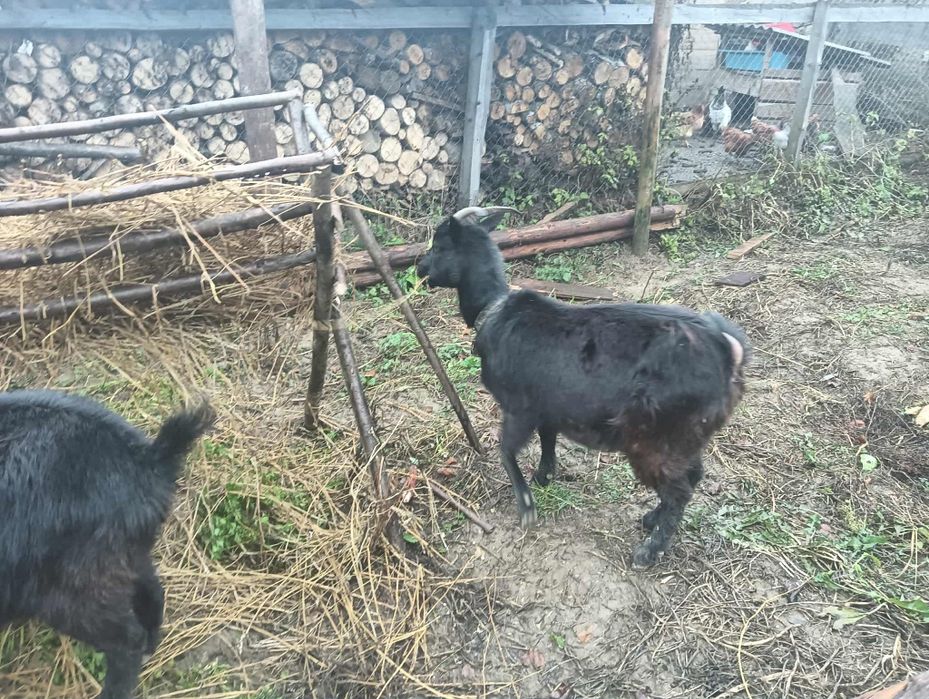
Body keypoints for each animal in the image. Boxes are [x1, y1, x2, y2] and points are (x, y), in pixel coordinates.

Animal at [0, 389, 214, 698]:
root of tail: (150, 458)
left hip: (71, 585)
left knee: (126, 641)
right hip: (123, 554)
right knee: (152, 590)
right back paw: (151, 644)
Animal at [416, 207, 751, 568]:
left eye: (439, 244)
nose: (420, 267)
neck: (494, 312)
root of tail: (727, 349)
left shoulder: (519, 408)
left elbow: (506, 451)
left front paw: (527, 504)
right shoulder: (548, 408)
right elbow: (548, 441)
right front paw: (543, 477)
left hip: (655, 437)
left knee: (679, 490)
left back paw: (649, 550)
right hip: (688, 437)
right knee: (693, 476)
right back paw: (650, 519)